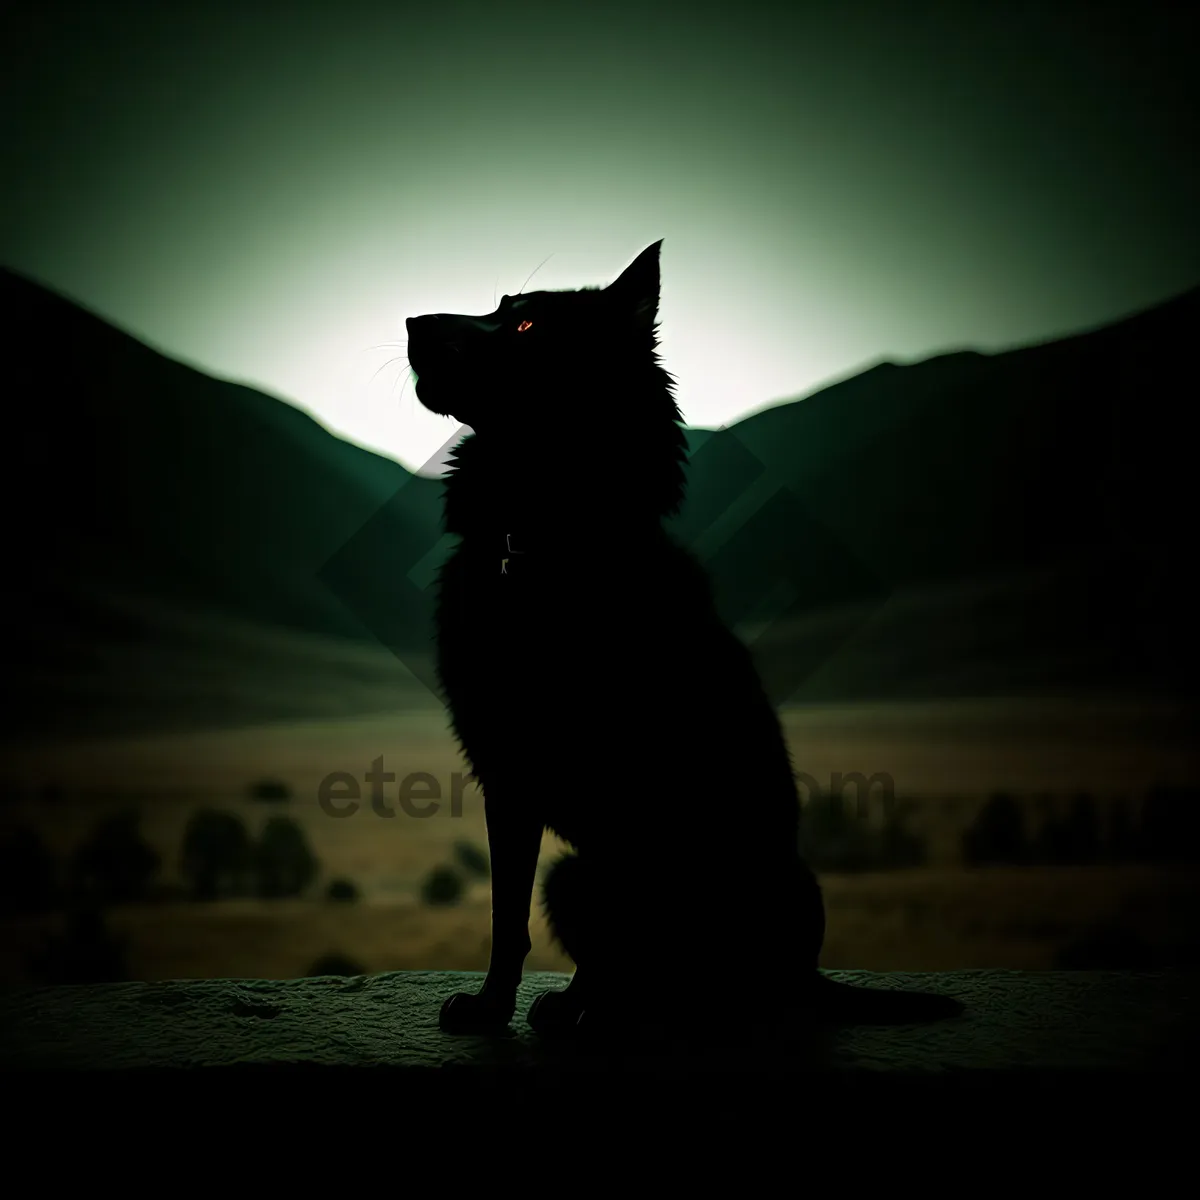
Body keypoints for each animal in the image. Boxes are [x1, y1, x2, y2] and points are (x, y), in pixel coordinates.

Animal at [408, 243, 960, 1041]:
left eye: (527, 324)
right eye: (501, 308)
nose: (411, 322)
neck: (541, 543)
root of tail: (813, 975)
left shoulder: (628, 785)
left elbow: (623, 918)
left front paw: (592, 1011)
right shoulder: (508, 773)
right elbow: (506, 915)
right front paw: (490, 1008)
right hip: (573, 876)